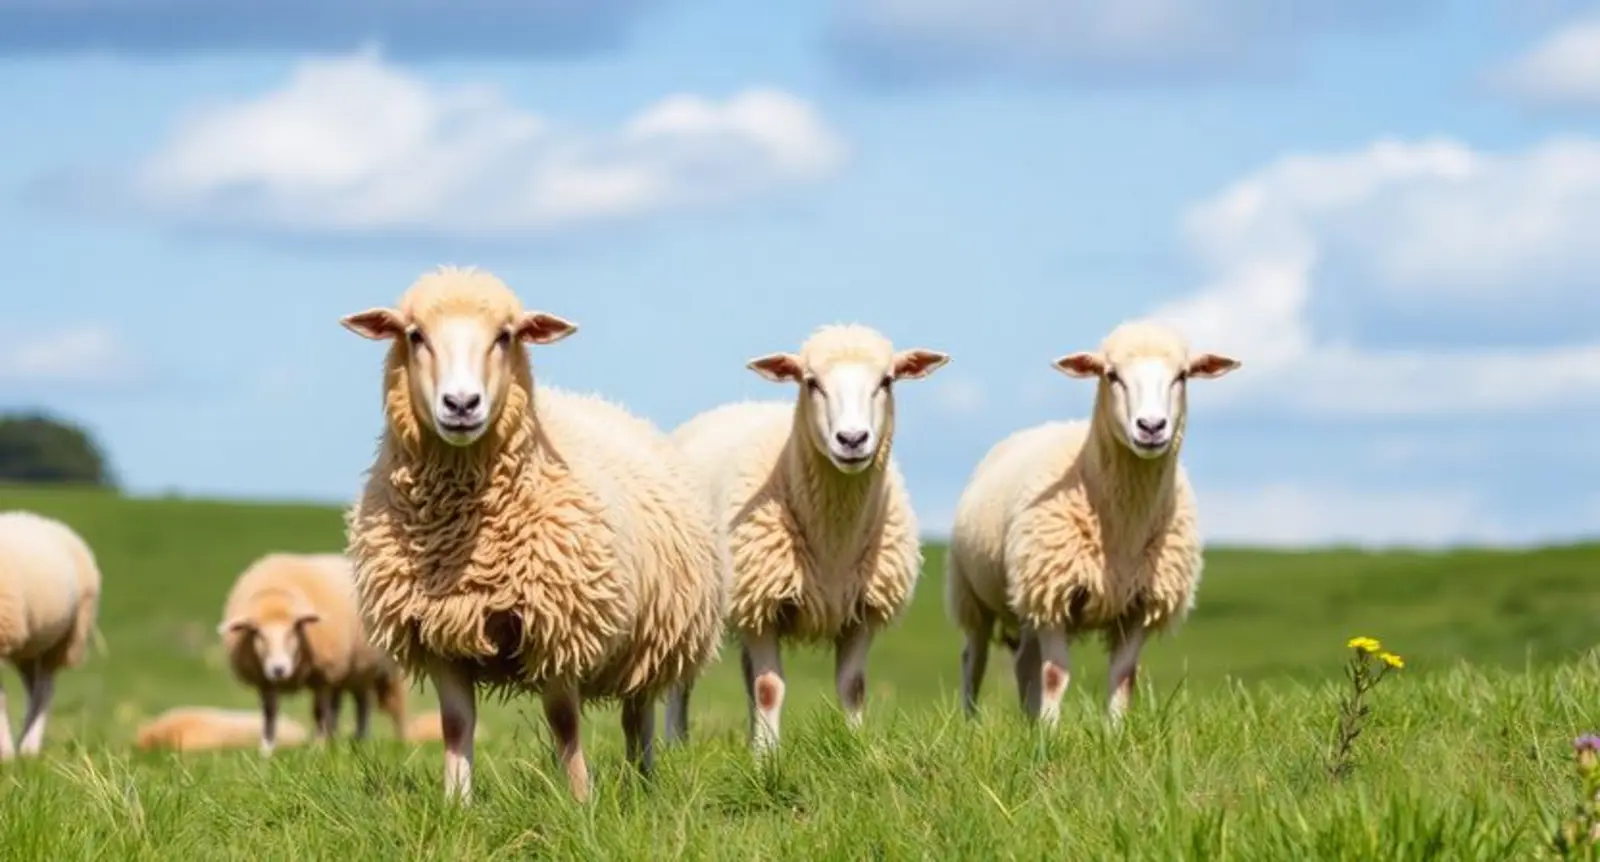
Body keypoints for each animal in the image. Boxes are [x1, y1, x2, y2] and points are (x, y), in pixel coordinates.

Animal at [0, 510, 102, 760]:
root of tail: (41, 519)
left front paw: (4, 754)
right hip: (29, 647)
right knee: (33, 691)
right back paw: (23, 742)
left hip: (66, 638)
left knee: (45, 691)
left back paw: (29, 747)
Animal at [218, 551, 409, 754]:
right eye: (257, 633)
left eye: (293, 630)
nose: (279, 669)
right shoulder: (265, 681)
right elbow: (269, 715)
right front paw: (267, 750)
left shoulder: (322, 675)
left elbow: (318, 712)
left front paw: (318, 749)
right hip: (350, 673)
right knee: (343, 705)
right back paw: (339, 739)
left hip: (372, 668)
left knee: (367, 705)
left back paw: (368, 739)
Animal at [340, 265, 724, 804]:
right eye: (415, 335)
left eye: (506, 336)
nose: (461, 404)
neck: (464, 536)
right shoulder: (440, 636)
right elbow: (456, 726)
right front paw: (456, 805)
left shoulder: (558, 627)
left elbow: (564, 722)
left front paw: (581, 802)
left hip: (655, 639)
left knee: (638, 717)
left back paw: (642, 781)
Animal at [661, 323, 950, 754]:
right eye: (811, 382)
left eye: (886, 381)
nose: (852, 439)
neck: (834, 541)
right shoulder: (761, 602)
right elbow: (769, 688)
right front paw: (766, 759)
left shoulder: (864, 609)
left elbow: (853, 686)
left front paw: (855, 749)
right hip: (693, 601)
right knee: (682, 680)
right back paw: (675, 745)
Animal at [945, 319, 1238, 726]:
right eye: (1111, 375)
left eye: (1182, 376)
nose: (1151, 427)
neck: (1123, 527)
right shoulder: (1054, 594)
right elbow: (1055, 675)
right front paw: (1049, 735)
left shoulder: (1139, 604)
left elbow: (1123, 677)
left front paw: (1113, 733)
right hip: (973, 594)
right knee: (974, 659)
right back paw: (972, 724)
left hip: (1026, 595)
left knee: (1024, 663)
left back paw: (1027, 721)